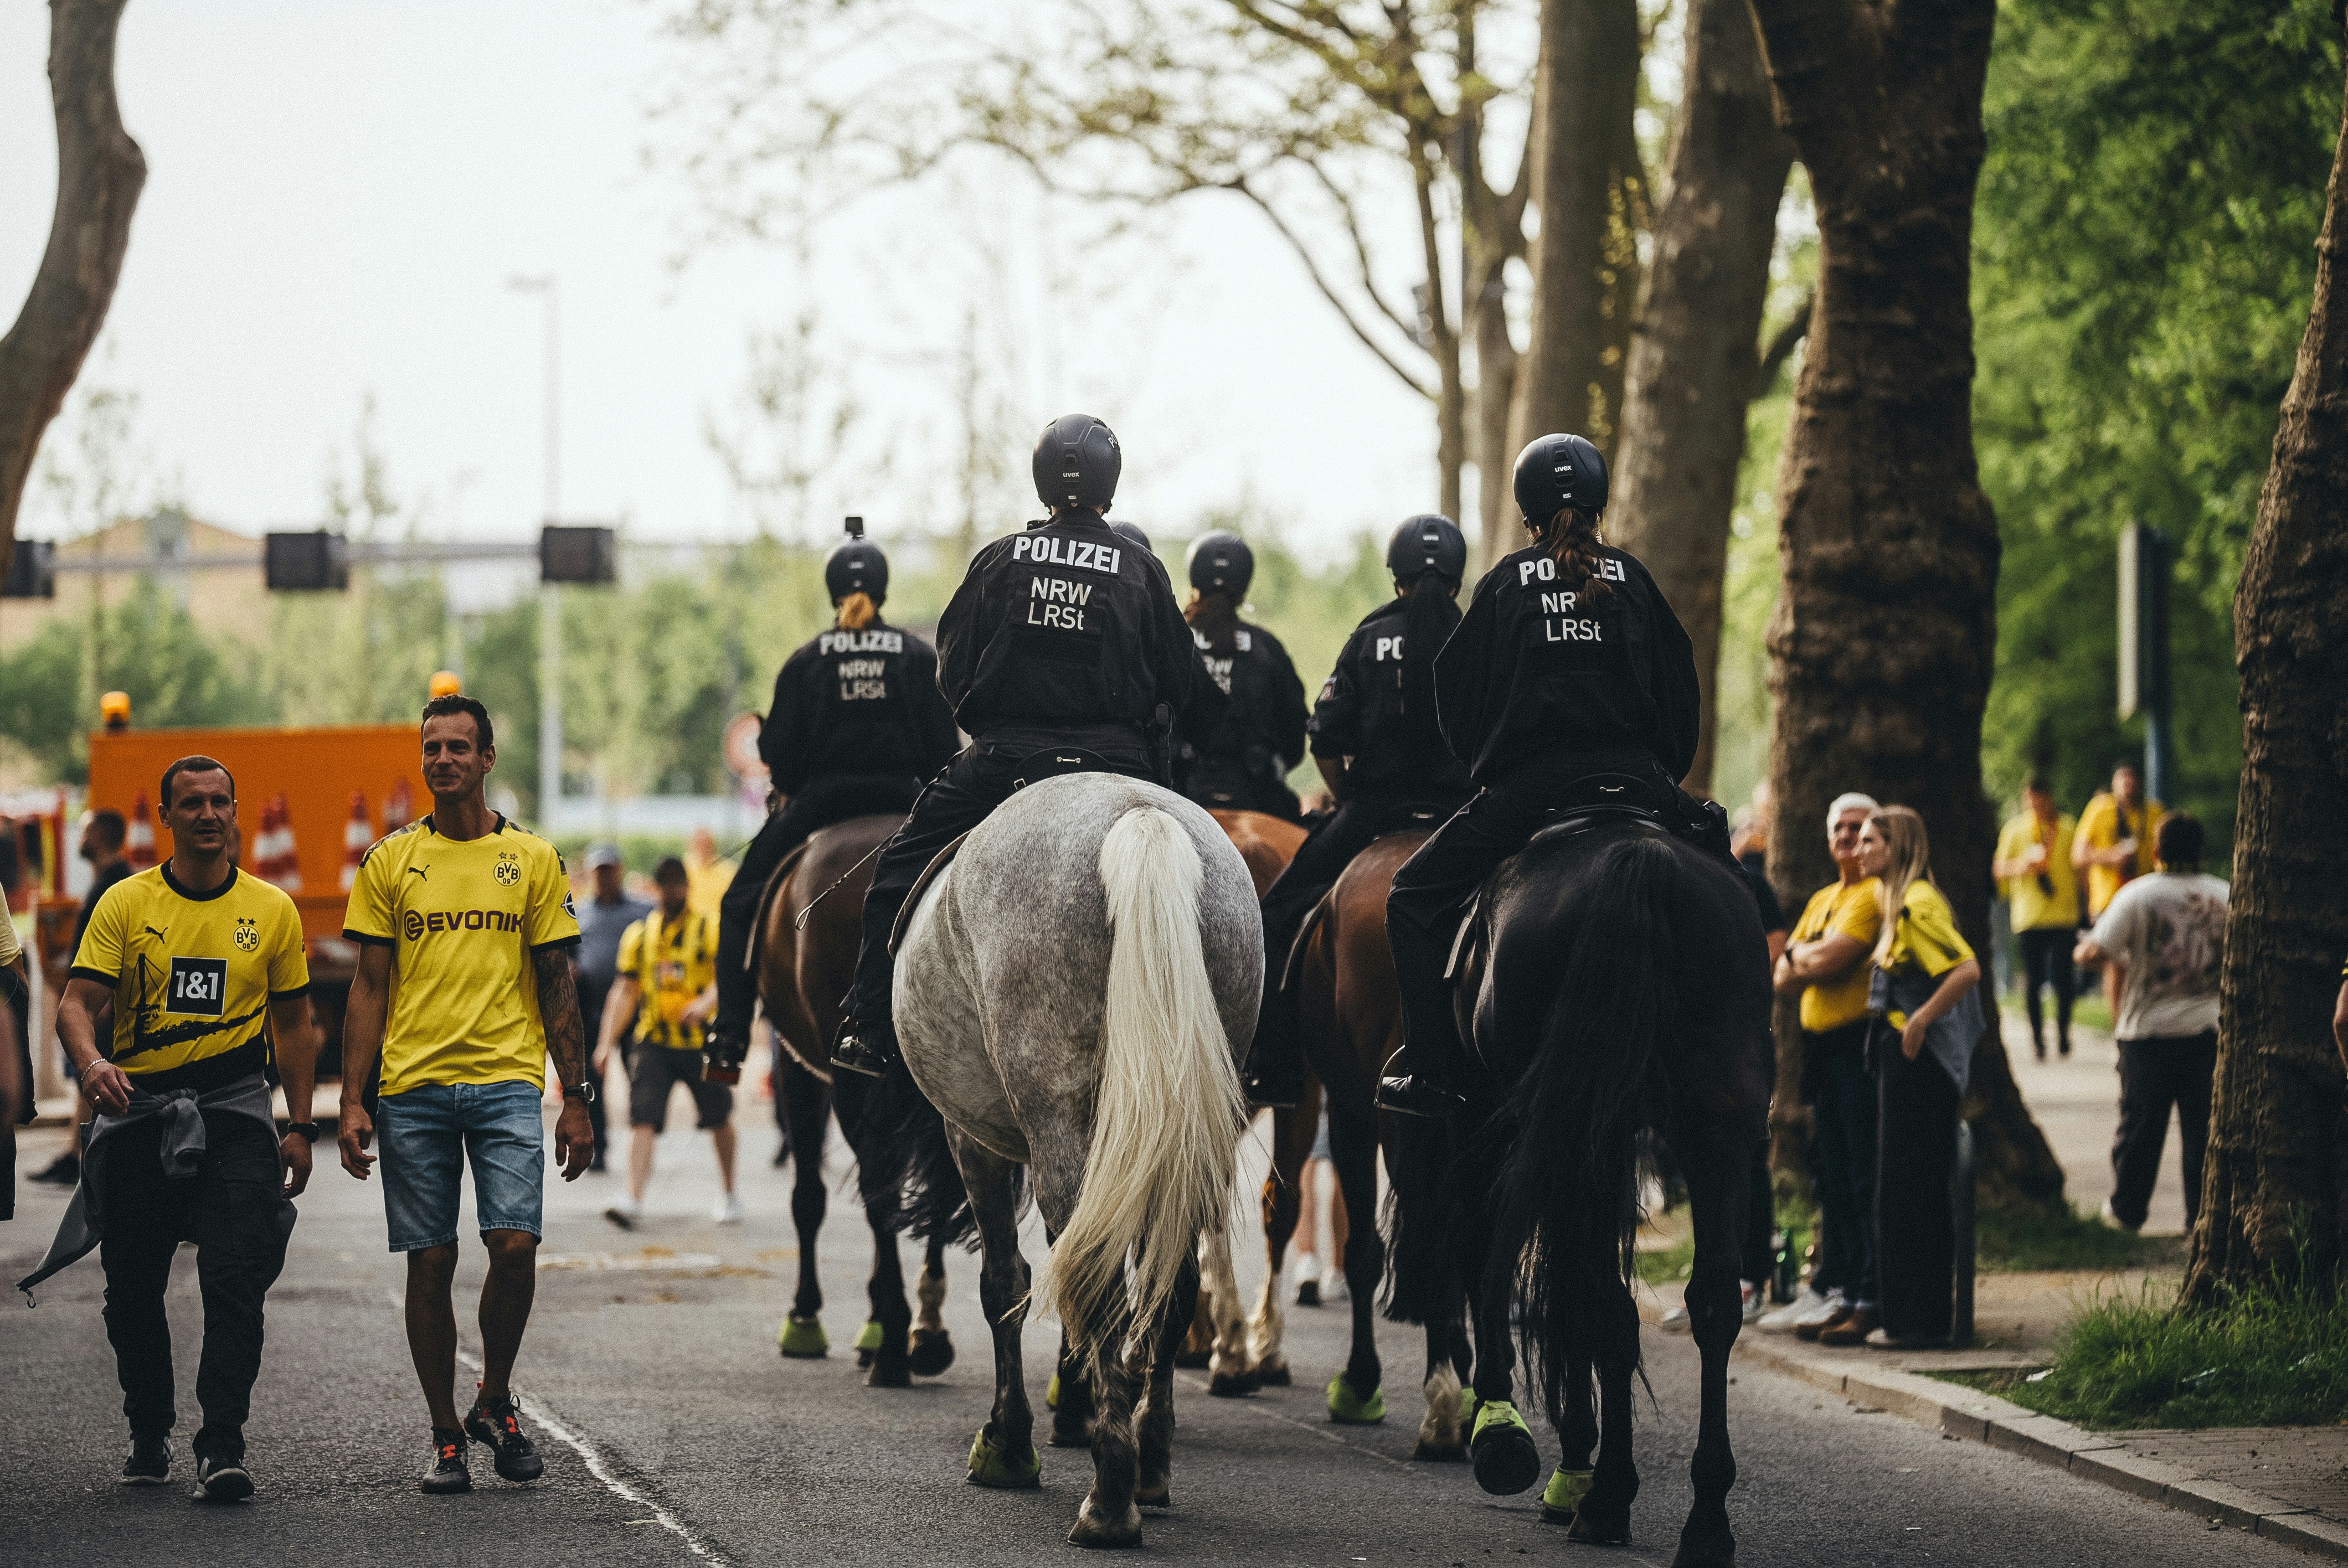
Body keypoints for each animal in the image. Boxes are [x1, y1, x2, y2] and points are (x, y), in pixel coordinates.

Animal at [755, 812, 956, 1387]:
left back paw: (893, 1343)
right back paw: (924, 1335)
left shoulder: (797, 1066)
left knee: (878, 1189)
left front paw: (806, 1318)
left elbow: (808, 1197)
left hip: (849, 1077)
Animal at [894, 774, 1257, 1548]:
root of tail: (1138, 817)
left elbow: (1005, 1283)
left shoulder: (970, 1137)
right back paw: (1148, 1461)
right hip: (1182, 1130)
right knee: (1168, 1287)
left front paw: (1010, 1443)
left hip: (1058, 1117)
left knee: (1095, 1283)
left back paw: (1109, 1499)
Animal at [1404, 817, 1769, 1566]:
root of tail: (1641, 857)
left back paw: (1603, 1496)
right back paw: (1706, 1520)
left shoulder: (1477, 1116)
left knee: (1599, 1296)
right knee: (1712, 1301)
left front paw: (1508, 1429)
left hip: (1572, 1129)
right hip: (1715, 1126)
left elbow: (1490, 1255)